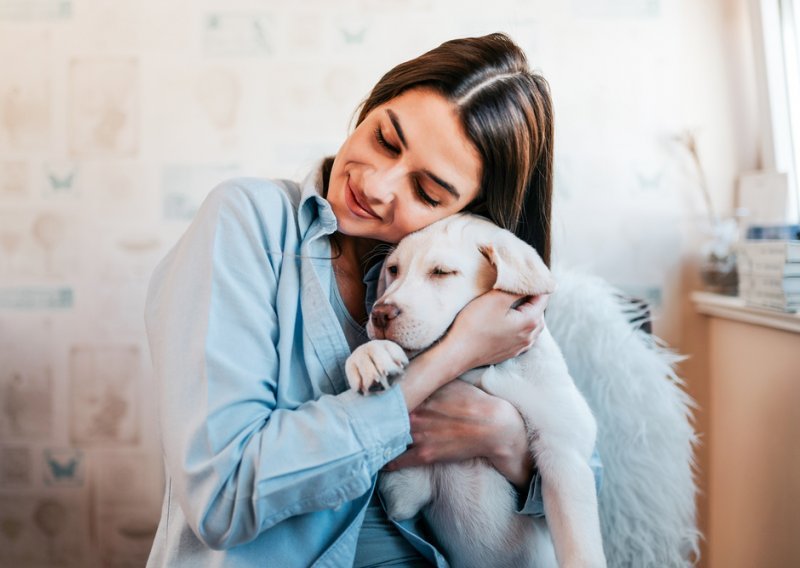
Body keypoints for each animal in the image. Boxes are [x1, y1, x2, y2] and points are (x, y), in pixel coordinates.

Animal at [346, 214, 608, 568]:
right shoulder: (404, 494)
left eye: (441, 272)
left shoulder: (564, 454)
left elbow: (580, 550)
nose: (380, 314)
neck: (478, 369)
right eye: (394, 270)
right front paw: (371, 355)